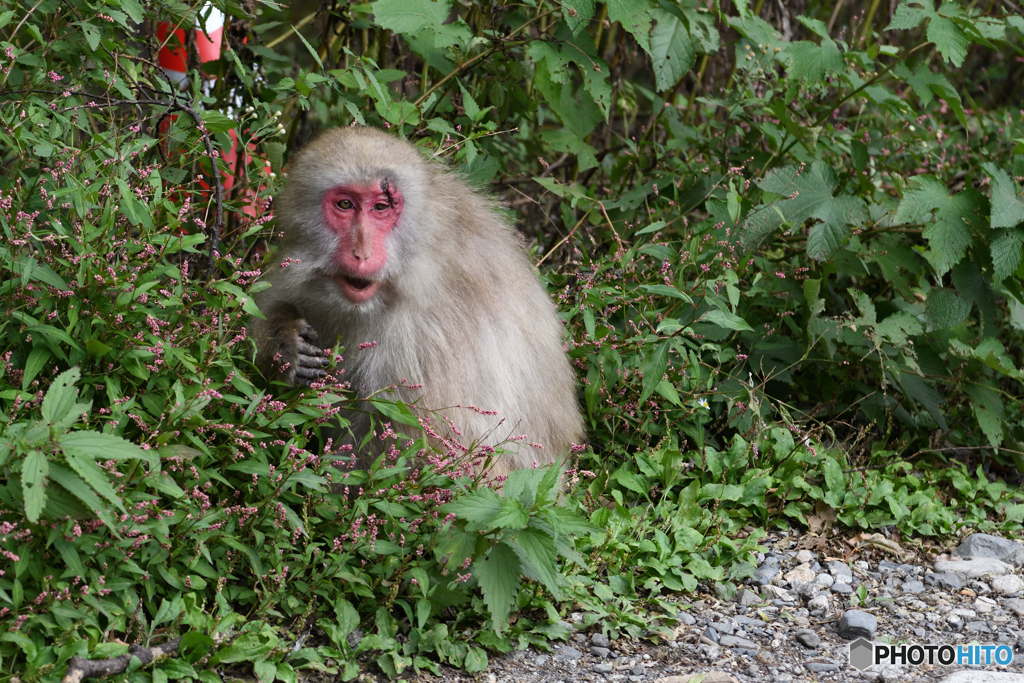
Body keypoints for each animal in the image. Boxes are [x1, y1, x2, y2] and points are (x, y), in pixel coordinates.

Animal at [249, 127, 585, 481]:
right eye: (345, 204)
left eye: (381, 207)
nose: (362, 253)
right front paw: (284, 343)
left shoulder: (425, 338)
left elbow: (426, 452)